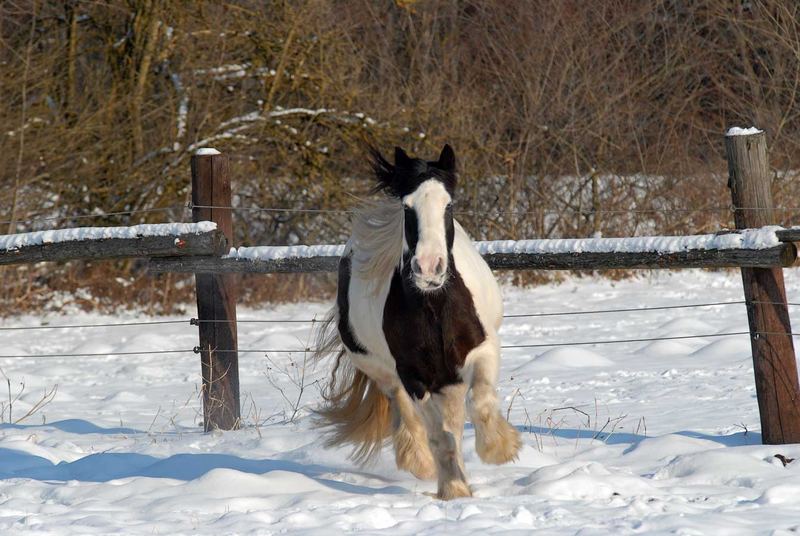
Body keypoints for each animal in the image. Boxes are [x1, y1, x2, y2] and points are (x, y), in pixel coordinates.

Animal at [312, 142, 520, 498]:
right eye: (407, 207)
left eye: (449, 205)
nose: (428, 268)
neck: (435, 307)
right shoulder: (413, 375)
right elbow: (438, 436)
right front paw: (453, 489)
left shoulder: (482, 350)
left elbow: (479, 404)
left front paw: (500, 449)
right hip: (388, 372)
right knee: (409, 416)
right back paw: (420, 461)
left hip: (449, 378)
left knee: (455, 418)